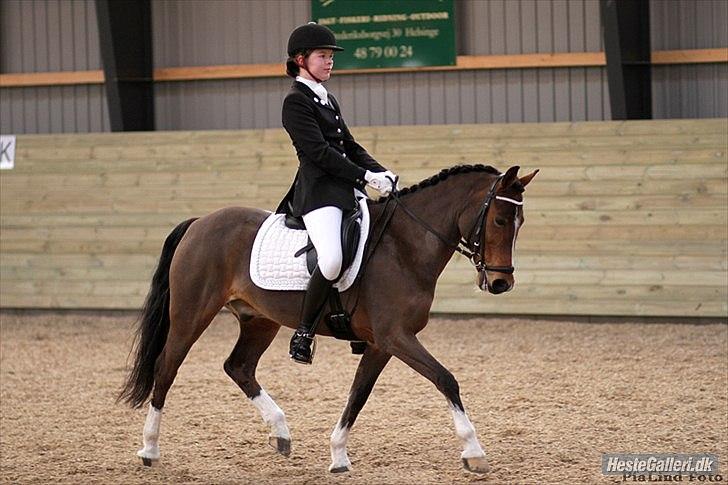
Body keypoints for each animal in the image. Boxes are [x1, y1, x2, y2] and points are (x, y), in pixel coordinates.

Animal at [119, 163, 536, 472]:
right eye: (500, 220)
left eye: (520, 221)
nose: (501, 283)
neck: (404, 247)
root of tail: (200, 222)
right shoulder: (396, 336)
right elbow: (446, 380)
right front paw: (474, 452)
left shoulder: (382, 344)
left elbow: (358, 395)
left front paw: (338, 455)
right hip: (191, 314)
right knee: (166, 367)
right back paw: (149, 450)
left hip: (260, 320)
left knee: (238, 366)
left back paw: (281, 433)